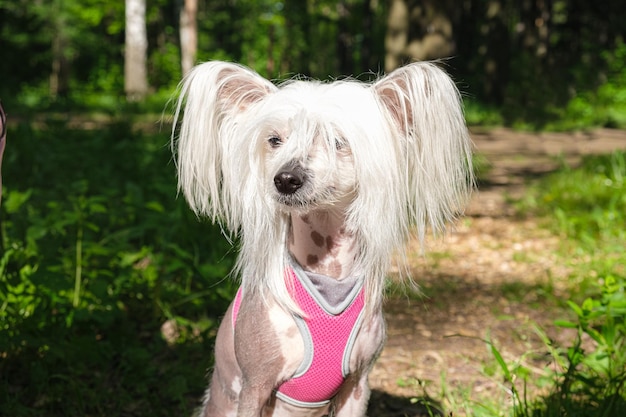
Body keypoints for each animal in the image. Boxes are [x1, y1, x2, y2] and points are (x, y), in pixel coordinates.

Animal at [171, 60, 472, 414]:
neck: (328, 272)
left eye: (337, 141)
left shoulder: (357, 386)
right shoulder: (254, 386)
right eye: (275, 140)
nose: (285, 179)